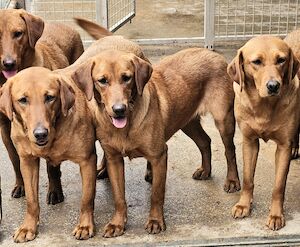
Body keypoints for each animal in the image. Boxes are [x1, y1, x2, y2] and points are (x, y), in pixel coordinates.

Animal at [0, 9, 84, 203]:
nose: (8, 64)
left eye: (18, 33)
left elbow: (51, 165)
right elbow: (15, 159)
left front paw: (55, 191)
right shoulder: (5, 127)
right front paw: (21, 185)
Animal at [0, 66, 96, 242]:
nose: (40, 134)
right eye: (23, 100)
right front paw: (28, 227)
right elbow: (31, 200)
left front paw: (85, 225)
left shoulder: (87, 161)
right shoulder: (27, 162)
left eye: (50, 97)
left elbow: (86, 199)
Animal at [71, 47, 241, 236]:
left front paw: (155, 221)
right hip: (187, 121)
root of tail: (214, 54)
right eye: (102, 81)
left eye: (127, 77)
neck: (125, 127)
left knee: (230, 151)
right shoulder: (113, 159)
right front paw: (117, 223)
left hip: (223, 120)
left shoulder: (159, 156)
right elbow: (119, 197)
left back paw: (232, 181)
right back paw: (205, 170)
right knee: (205, 141)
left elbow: (156, 195)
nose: (119, 109)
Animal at [229, 35, 298, 231]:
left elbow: (278, 186)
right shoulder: (249, 141)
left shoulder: (283, 146)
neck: (264, 107)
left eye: (281, 60)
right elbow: (247, 178)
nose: (274, 86)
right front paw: (243, 205)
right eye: (256, 62)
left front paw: (276, 215)